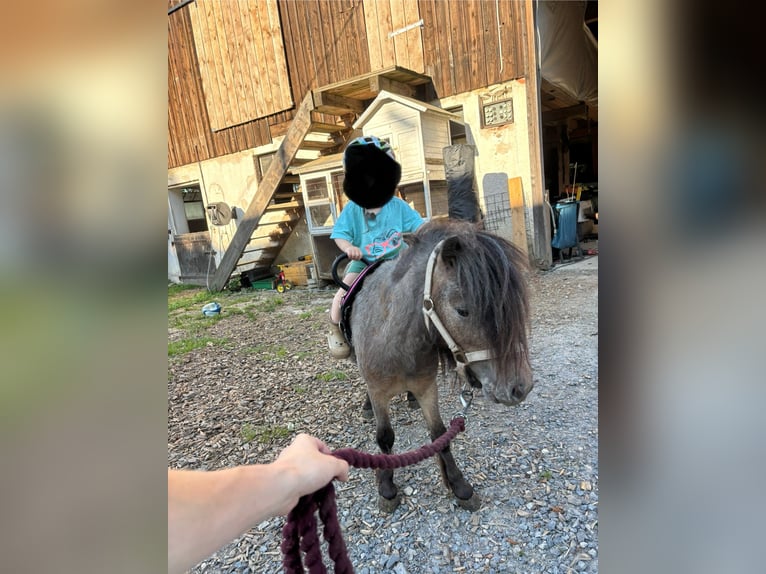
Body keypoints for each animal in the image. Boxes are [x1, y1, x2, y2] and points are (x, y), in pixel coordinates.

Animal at [345, 218, 534, 512]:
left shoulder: (426, 388)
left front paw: (458, 485)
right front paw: (386, 486)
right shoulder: (378, 392)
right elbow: (385, 436)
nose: (520, 388)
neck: (394, 337)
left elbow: (440, 435)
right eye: (462, 310)